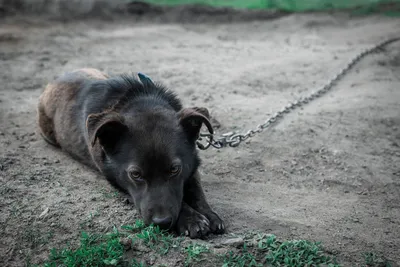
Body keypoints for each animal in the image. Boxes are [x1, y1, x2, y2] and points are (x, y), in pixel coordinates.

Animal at [36, 68, 225, 239]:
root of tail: (55, 81)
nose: (161, 222)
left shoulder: (191, 164)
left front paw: (209, 214)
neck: (142, 103)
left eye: (174, 170)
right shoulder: (115, 180)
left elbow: (197, 190)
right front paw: (191, 219)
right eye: (135, 174)